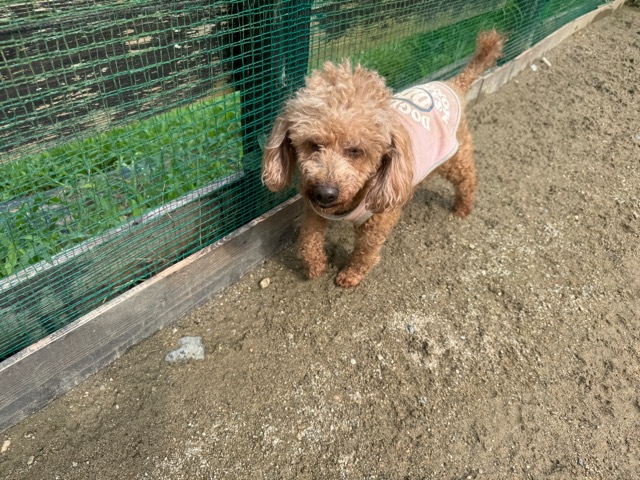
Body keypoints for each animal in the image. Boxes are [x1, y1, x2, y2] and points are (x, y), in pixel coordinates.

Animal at [262, 30, 504, 287]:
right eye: (313, 144)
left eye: (355, 150)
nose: (325, 193)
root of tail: (453, 84)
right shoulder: (314, 209)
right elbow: (308, 237)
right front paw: (315, 265)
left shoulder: (378, 219)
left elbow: (365, 250)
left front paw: (351, 274)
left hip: (455, 157)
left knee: (468, 178)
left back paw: (463, 207)